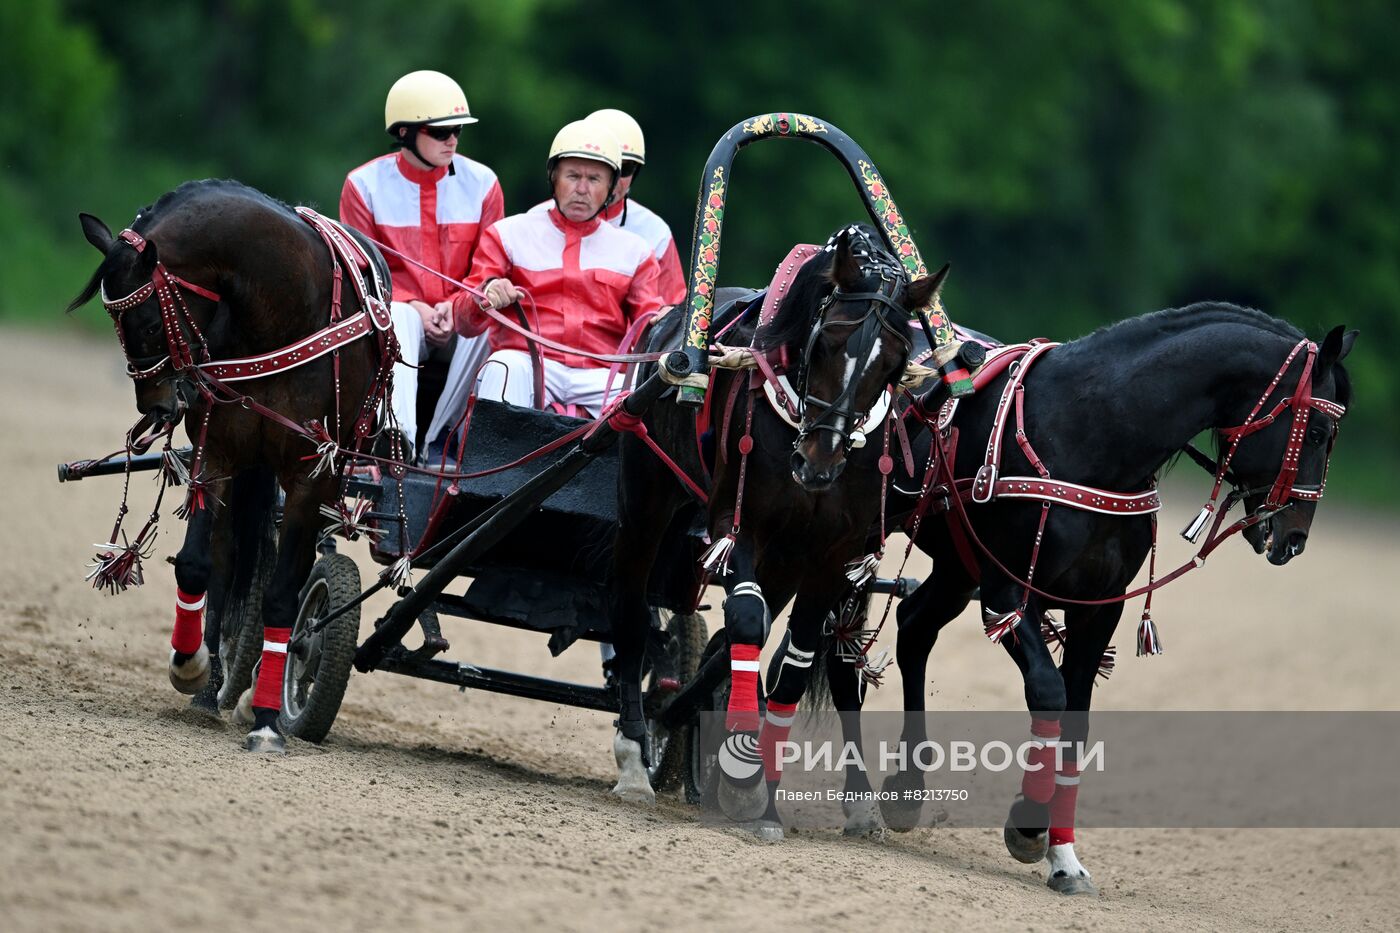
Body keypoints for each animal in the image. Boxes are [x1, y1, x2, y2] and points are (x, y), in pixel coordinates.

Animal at [68, 177, 392, 750]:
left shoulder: (312, 475)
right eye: (118, 327)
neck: (281, 316)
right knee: (225, 562)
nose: (157, 405)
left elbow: (283, 597)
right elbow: (198, 565)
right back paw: (210, 682)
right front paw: (190, 664)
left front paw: (267, 718)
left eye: (148, 323)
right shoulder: (216, 454)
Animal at [607, 225, 946, 829]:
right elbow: (746, 619)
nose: (819, 462)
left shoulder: (830, 555)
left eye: (893, 363)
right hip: (645, 497)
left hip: (786, 560)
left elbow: (797, 659)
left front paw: (762, 789)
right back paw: (635, 753)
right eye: (828, 341)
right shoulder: (740, 524)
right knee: (630, 613)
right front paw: (742, 770)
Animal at [817, 301, 1355, 890]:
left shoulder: (1100, 607)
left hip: (957, 567)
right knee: (840, 653)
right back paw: (859, 803)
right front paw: (1028, 824)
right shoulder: (1009, 591)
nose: (1294, 537)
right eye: (1320, 431)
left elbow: (1078, 719)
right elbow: (1049, 692)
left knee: (913, 626)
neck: (1091, 430)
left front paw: (1064, 856)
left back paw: (906, 789)